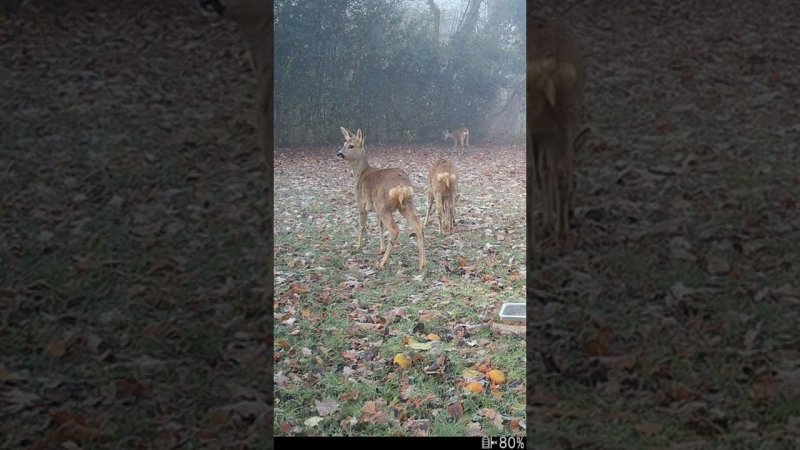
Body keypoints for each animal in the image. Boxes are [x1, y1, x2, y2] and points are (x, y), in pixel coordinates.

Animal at [336, 126, 428, 270]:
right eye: (344, 144)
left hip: (383, 205)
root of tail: (401, 186)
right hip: (406, 204)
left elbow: (362, 225)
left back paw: (382, 263)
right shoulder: (376, 210)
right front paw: (381, 249)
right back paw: (422, 263)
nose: (339, 153)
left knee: (394, 229)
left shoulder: (361, 203)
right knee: (418, 225)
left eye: (351, 146)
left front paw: (358, 246)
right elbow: (380, 226)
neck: (361, 174)